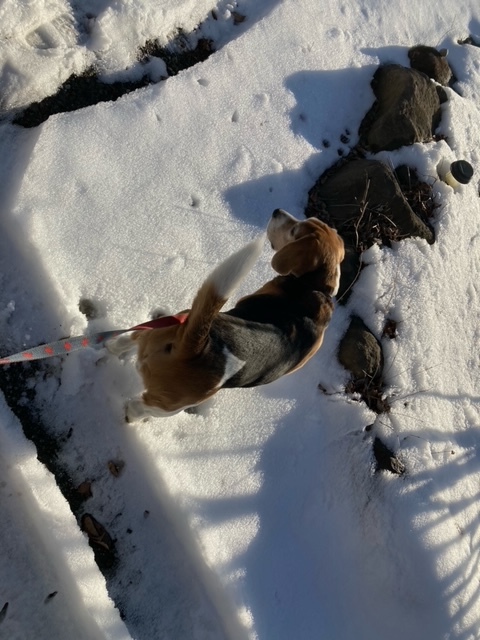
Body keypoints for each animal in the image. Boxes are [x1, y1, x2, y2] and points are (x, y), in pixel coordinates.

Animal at [107, 209, 344, 420]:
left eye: (295, 230)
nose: (277, 211)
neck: (316, 287)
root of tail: (195, 345)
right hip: (170, 405)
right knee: (138, 408)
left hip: (167, 328)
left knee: (126, 342)